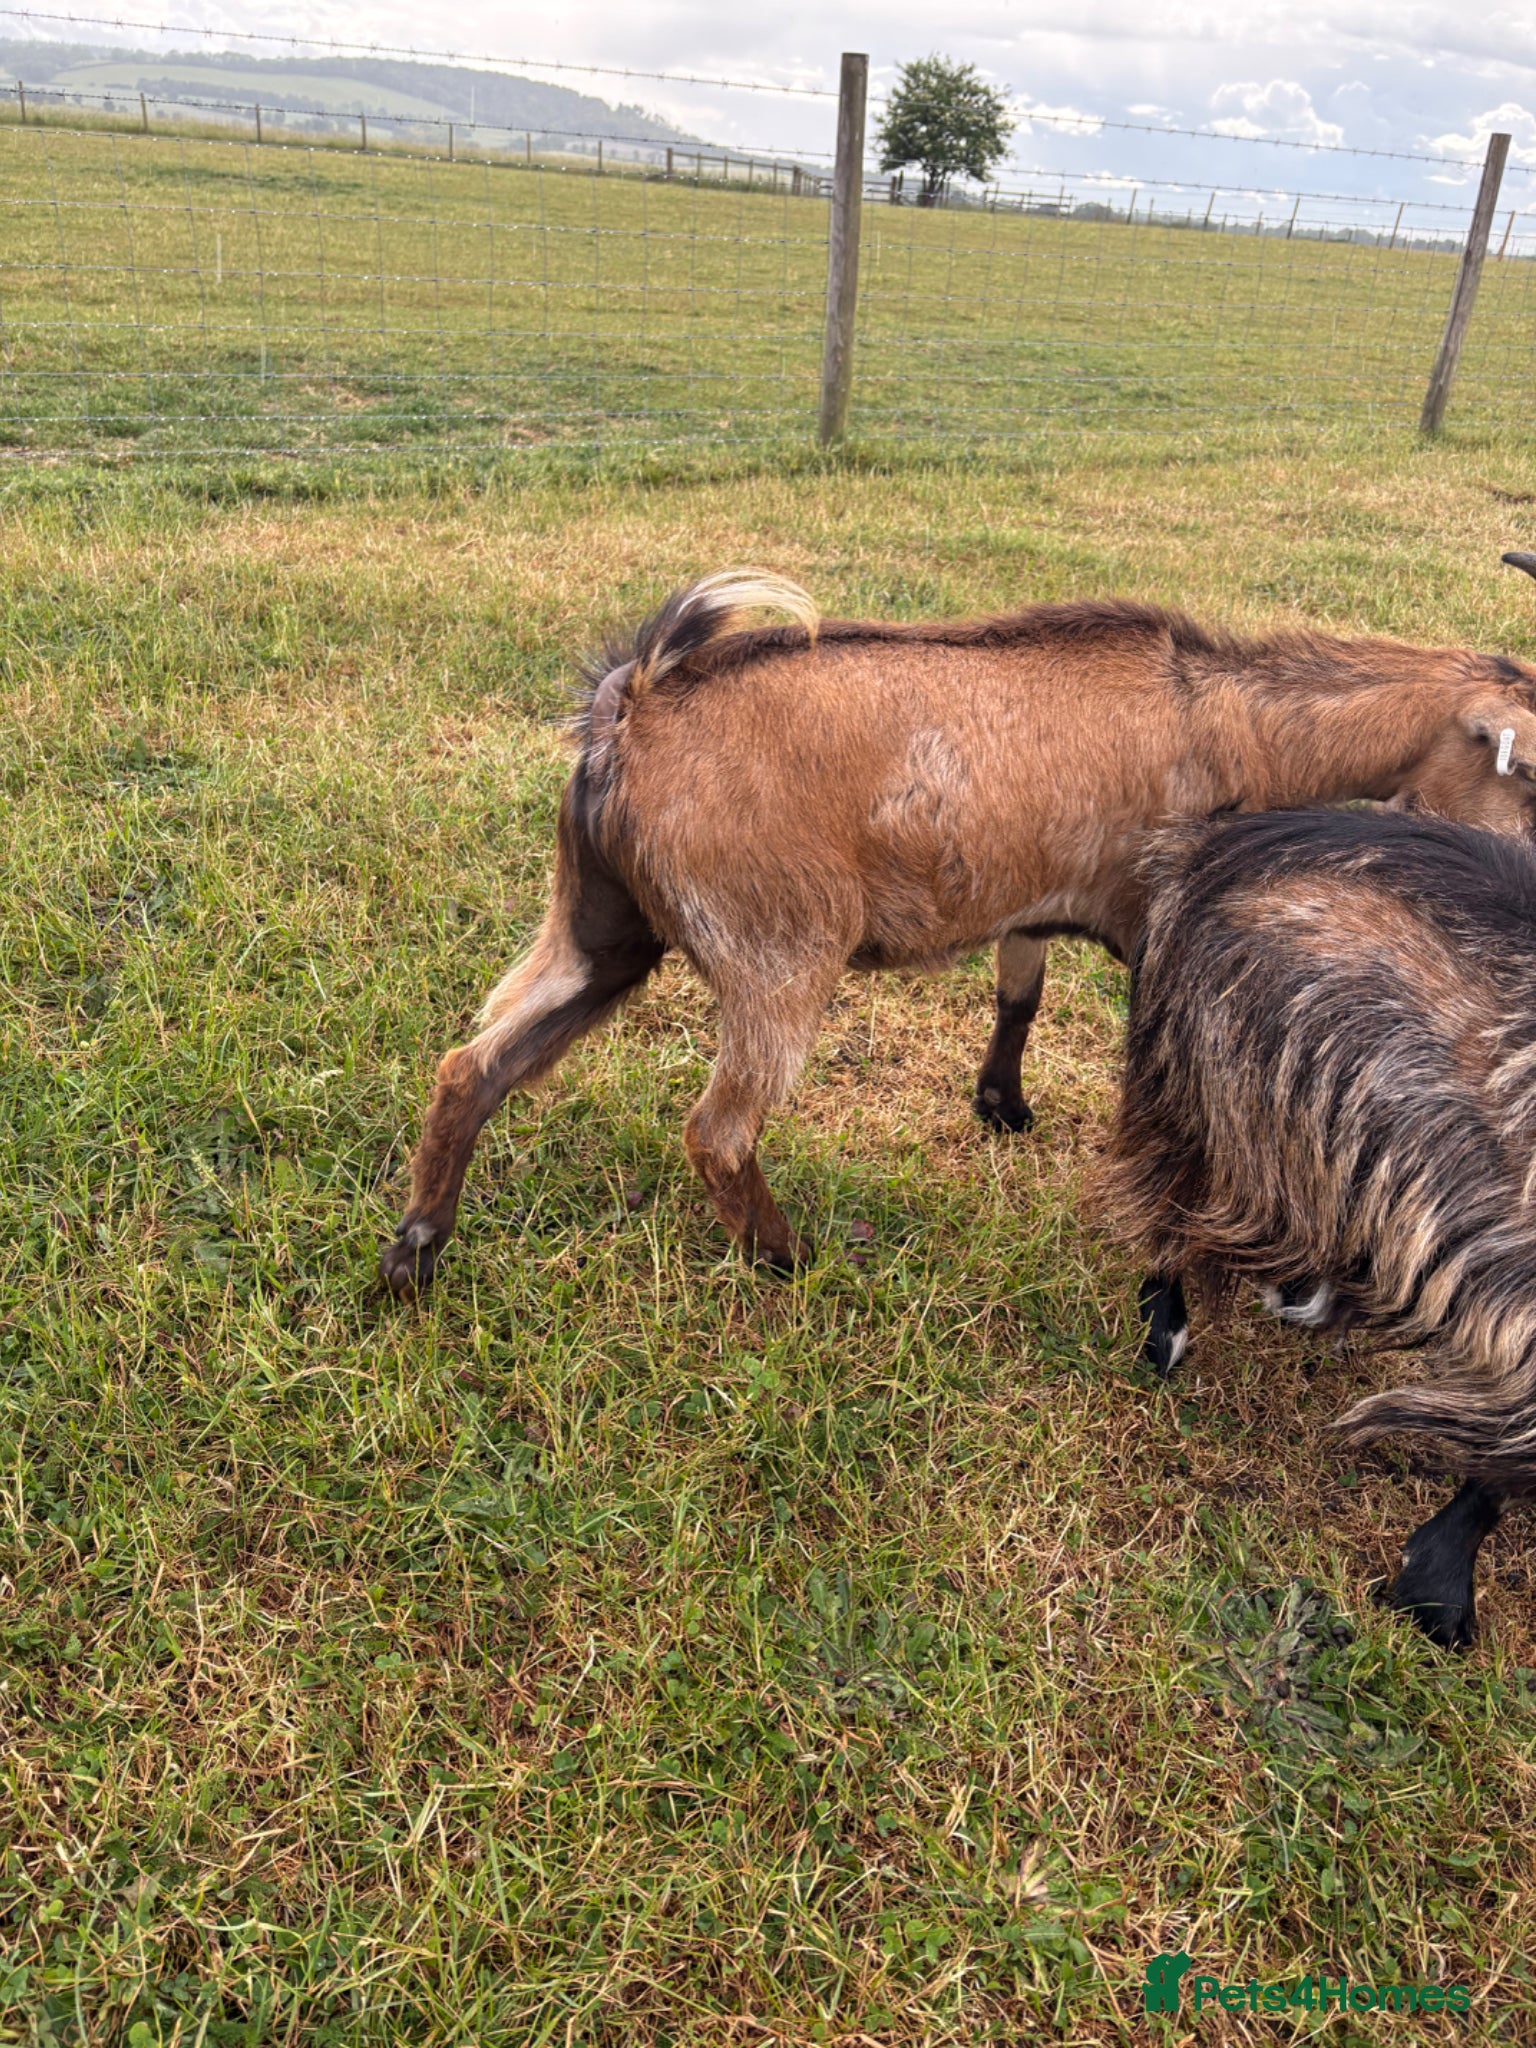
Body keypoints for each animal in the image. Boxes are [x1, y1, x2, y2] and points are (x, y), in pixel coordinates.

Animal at [382, 556, 1536, 1299]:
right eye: (1526, 772)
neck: (1224, 719)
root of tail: (632, 709)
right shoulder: (1154, 915)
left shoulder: (1030, 900)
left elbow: (1019, 994)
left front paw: (1002, 1107)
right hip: (777, 951)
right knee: (717, 1130)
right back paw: (791, 1262)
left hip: (601, 927)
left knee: (472, 1065)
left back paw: (414, 1255)